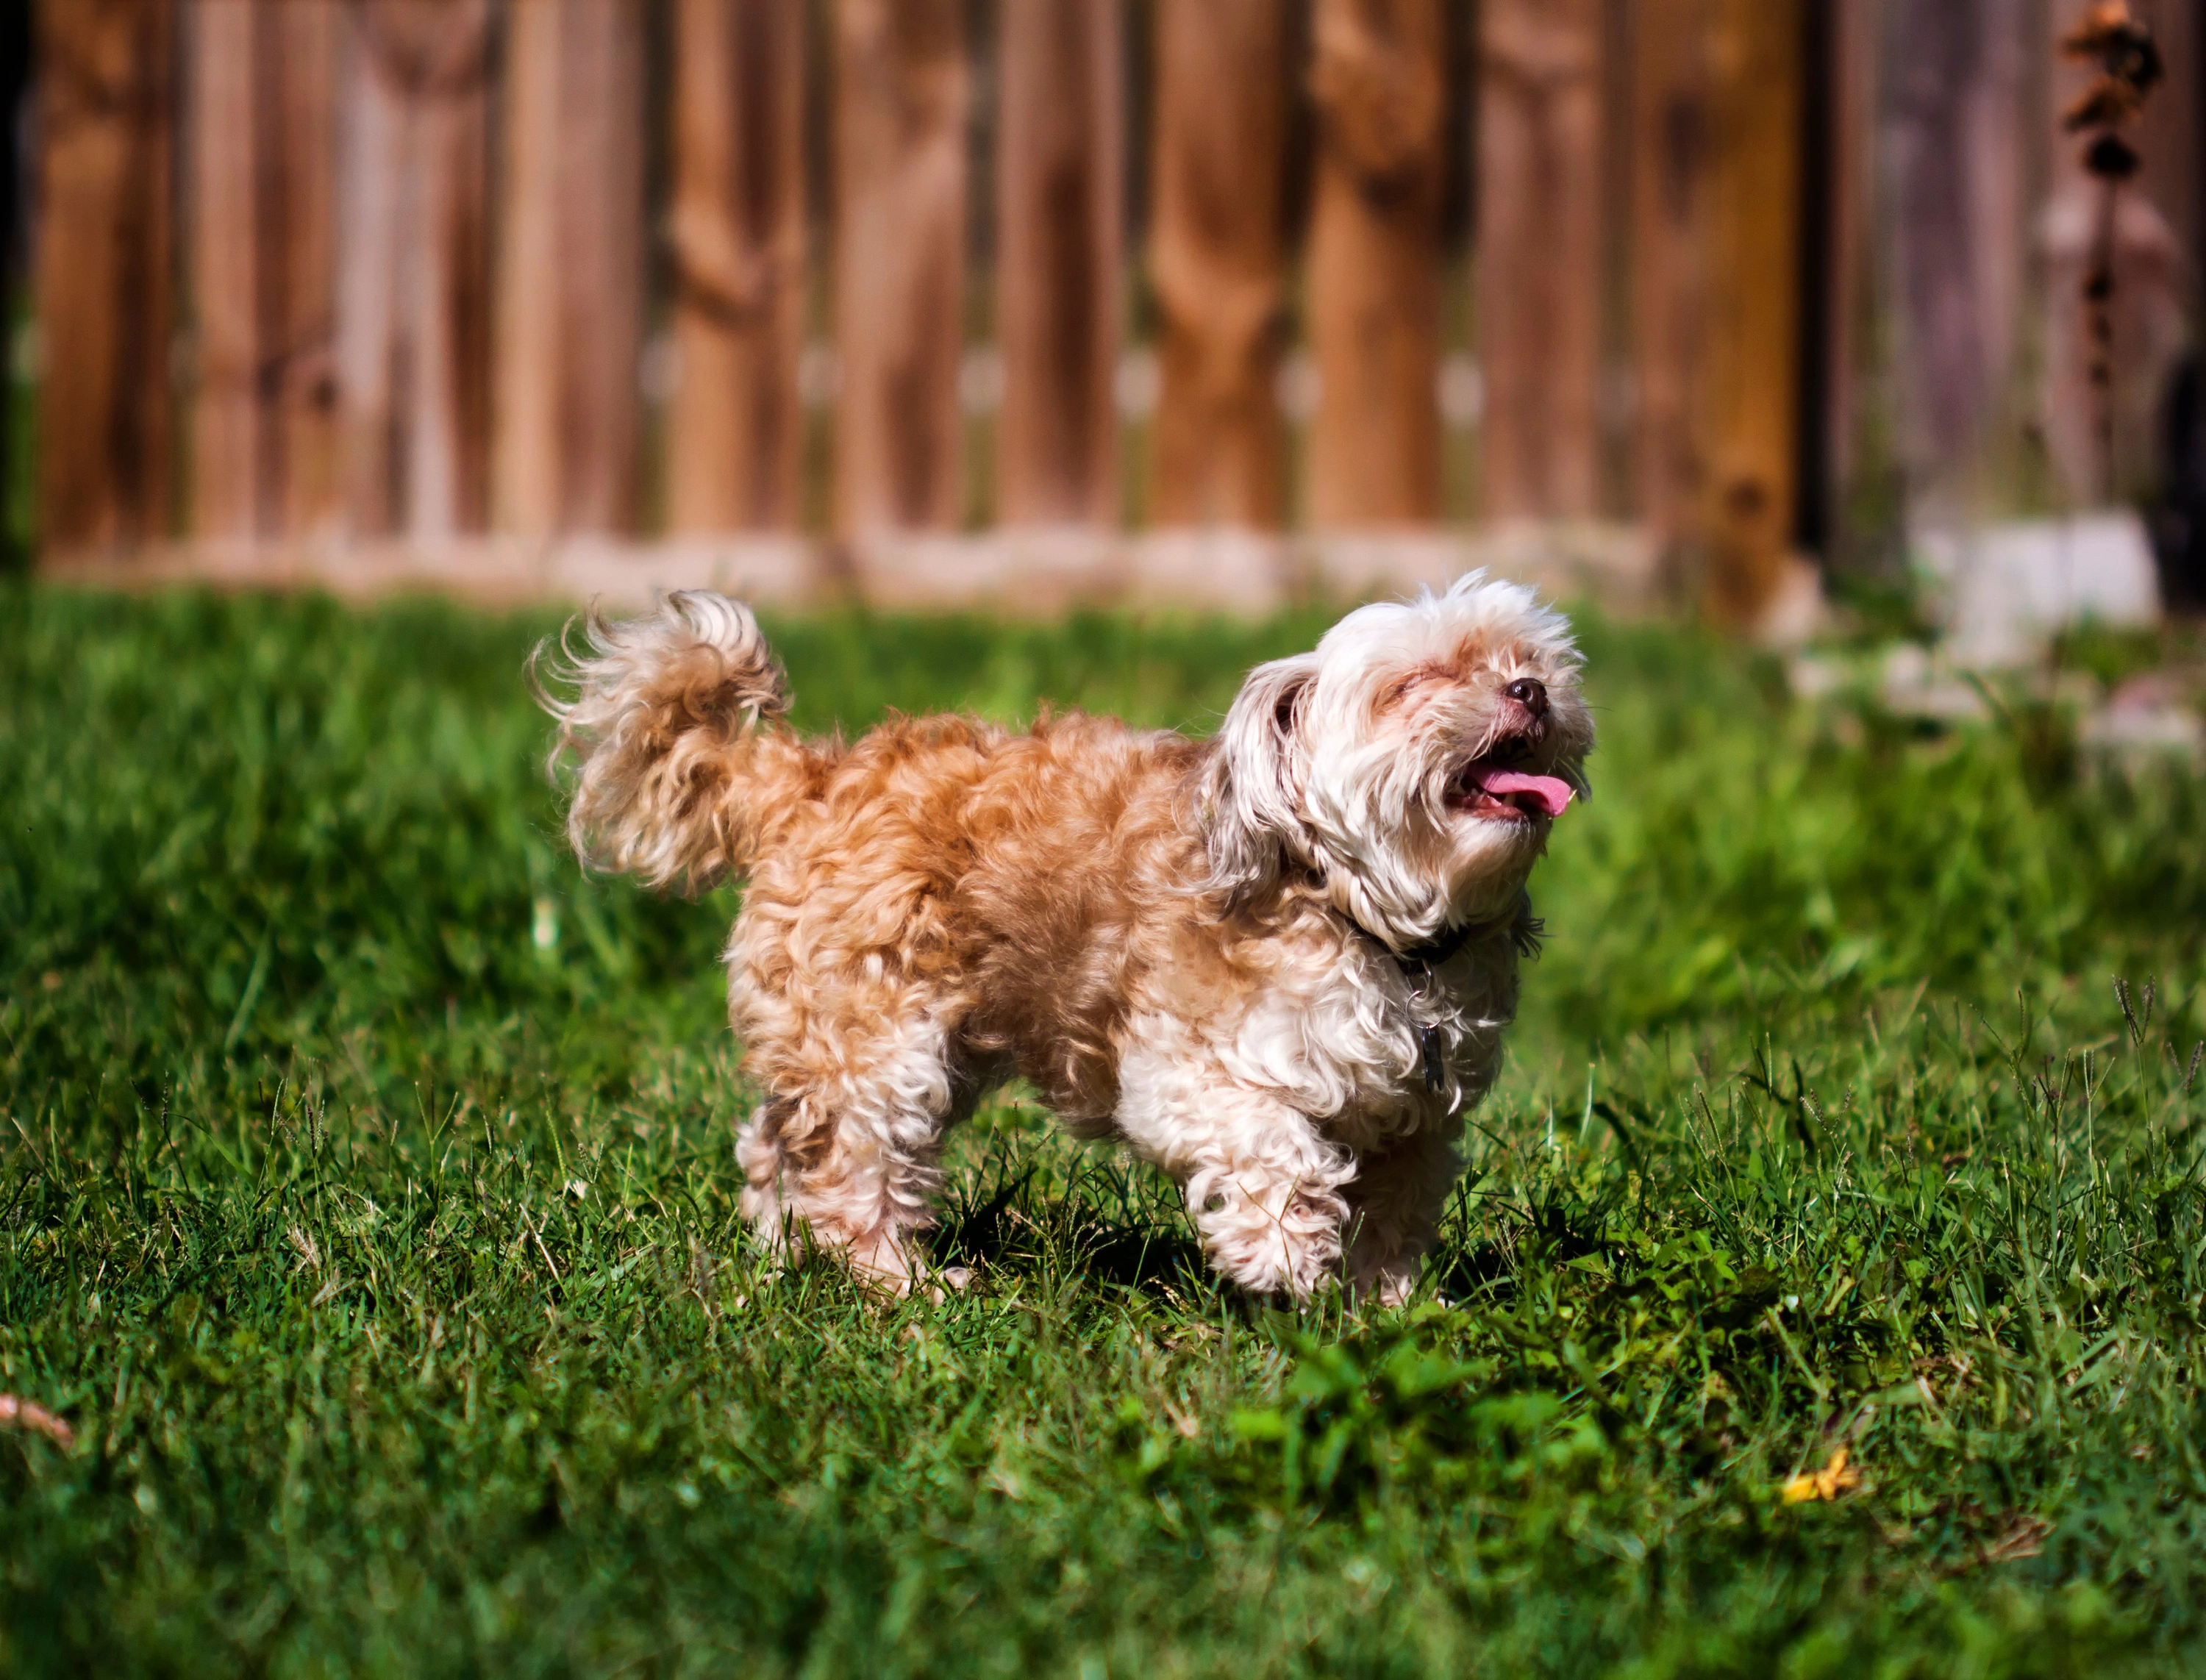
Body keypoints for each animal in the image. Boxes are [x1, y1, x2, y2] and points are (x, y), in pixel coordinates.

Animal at [543, 573, 1597, 1296]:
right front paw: (1287, 1262)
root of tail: (806, 778)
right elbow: (1277, 1153)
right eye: (1416, 680)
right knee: (852, 1165)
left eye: (1531, 659)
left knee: (779, 1140)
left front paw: (1384, 1307)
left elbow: (1398, 1213)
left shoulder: (1415, 1118)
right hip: (882, 1044)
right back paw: (901, 1285)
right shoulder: (1190, 1072)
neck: (1368, 918)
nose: (1529, 691)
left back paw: (783, 1253)